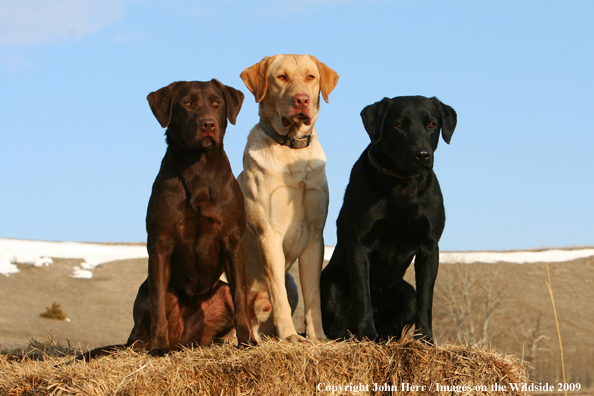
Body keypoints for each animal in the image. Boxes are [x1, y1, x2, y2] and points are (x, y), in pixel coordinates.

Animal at [322, 96, 456, 344]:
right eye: (399, 125)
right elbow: (363, 296)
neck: (402, 185)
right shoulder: (359, 243)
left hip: (407, 295)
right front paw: (367, 335)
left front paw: (425, 338)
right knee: (340, 329)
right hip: (331, 284)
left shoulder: (430, 245)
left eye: (431, 124)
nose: (422, 154)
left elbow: (427, 299)